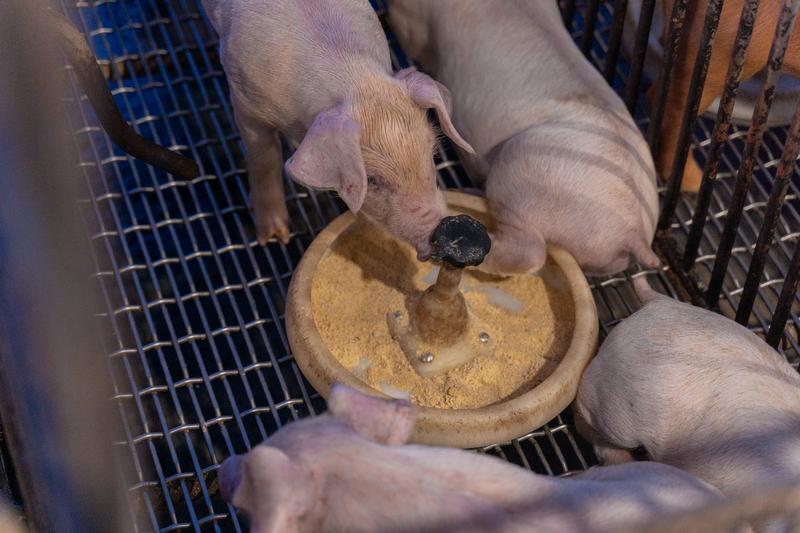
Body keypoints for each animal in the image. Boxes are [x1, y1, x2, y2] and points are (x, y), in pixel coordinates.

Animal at [202, 0, 476, 258]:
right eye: (372, 179)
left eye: (432, 154)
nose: (443, 232)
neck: (353, 79)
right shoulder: (244, 101)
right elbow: (264, 160)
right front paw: (274, 237)